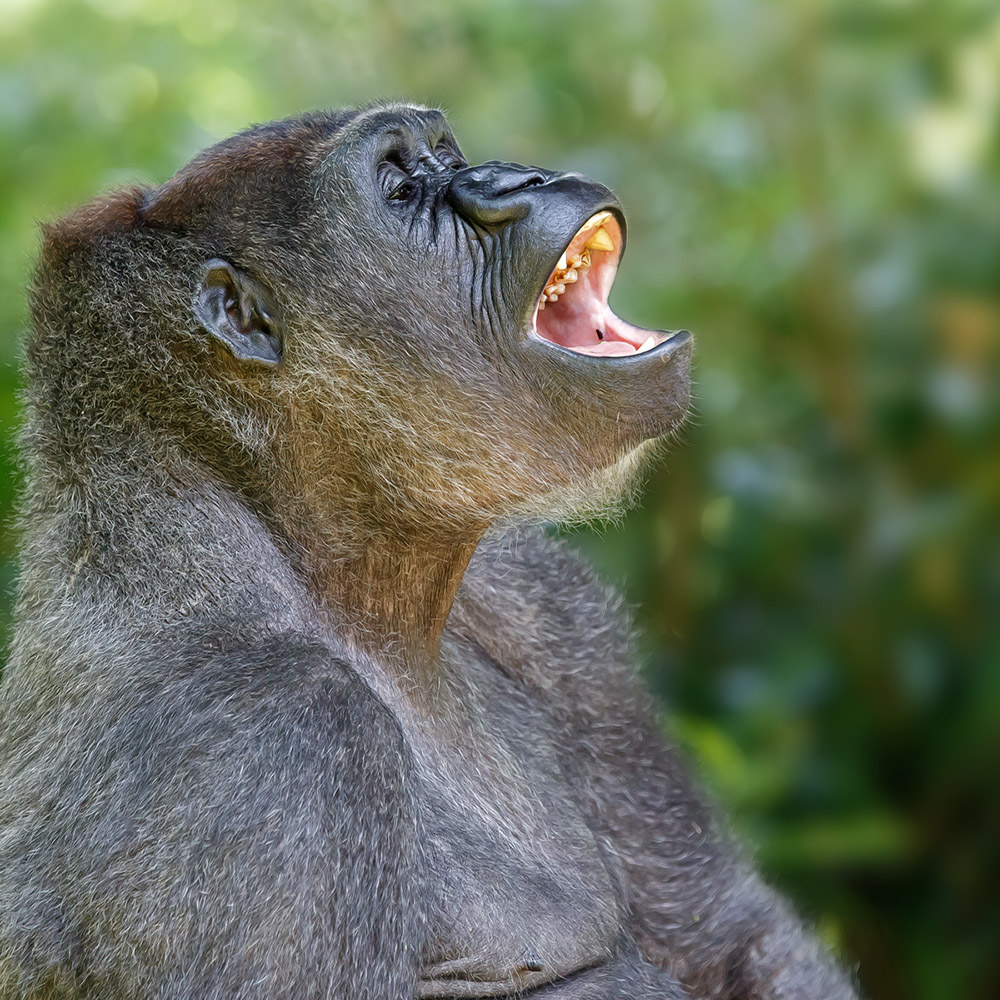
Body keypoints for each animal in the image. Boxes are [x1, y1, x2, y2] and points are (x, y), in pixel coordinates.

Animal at [0, 103, 860, 1000]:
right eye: (402, 189)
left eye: (446, 154)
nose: (522, 177)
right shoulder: (274, 737)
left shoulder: (536, 594)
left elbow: (726, 932)